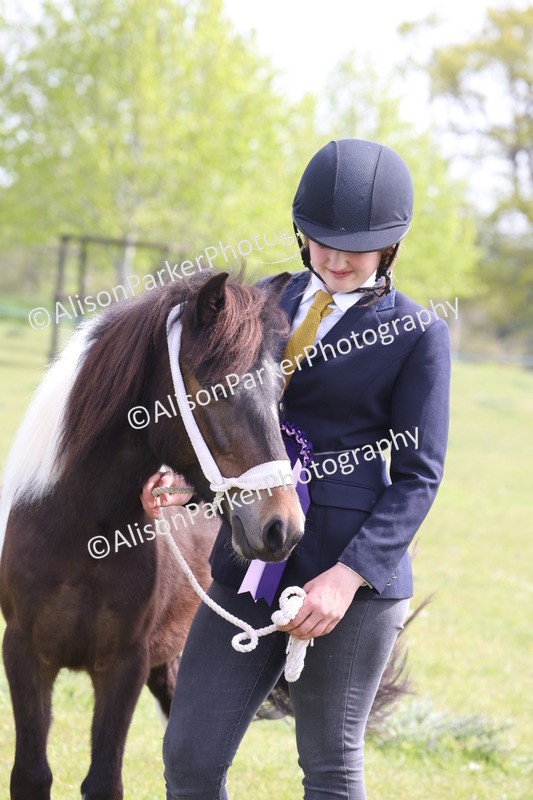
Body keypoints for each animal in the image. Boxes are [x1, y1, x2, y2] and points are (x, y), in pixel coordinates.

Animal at [0, 270, 304, 800]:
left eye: (277, 393)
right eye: (213, 388)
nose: (281, 527)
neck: (81, 539)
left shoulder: (125, 665)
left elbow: (104, 781)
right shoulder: (24, 655)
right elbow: (32, 775)